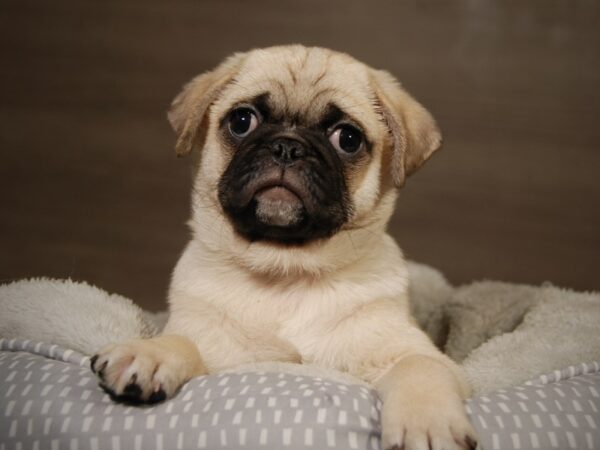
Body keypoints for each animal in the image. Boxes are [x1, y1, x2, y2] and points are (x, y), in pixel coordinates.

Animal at [92, 45, 478, 450]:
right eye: (241, 121)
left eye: (348, 139)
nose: (287, 147)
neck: (286, 269)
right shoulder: (219, 350)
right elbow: (184, 342)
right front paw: (150, 352)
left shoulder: (412, 353)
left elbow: (420, 366)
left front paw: (428, 422)